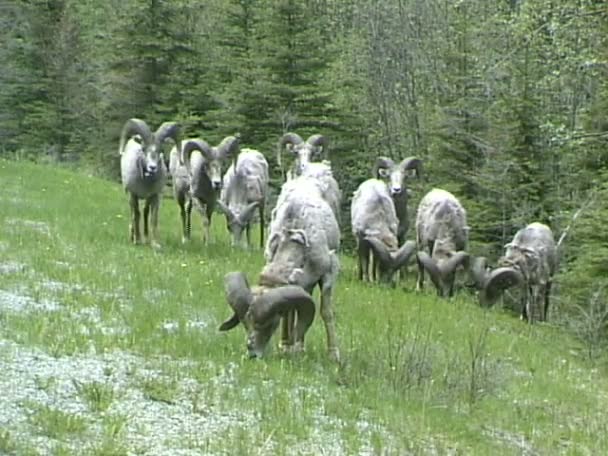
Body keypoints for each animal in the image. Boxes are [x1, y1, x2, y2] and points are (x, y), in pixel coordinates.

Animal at [119, 116, 180, 248]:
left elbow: (153, 218)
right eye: (143, 149)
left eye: (161, 150)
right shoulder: (133, 195)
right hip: (129, 196)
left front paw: (155, 244)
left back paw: (146, 239)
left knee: (146, 212)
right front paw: (137, 240)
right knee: (133, 214)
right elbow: (136, 215)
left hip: (148, 198)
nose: (152, 168)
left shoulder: (155, 196)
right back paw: (133, 237)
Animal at [220, 176, 342, 362]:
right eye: (245, 324)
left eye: (269, 323)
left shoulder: (329, 273)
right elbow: (289, 314)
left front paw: (333, 355)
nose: (252, 353)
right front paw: (288, 348)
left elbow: (326, 312)